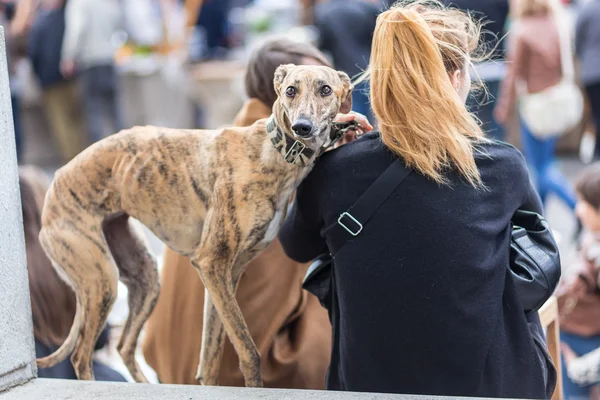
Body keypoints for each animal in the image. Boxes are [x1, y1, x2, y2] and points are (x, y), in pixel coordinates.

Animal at [37, 64, 354, 386]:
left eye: (325, 89)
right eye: (291, 90)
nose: (302, 127)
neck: (272, 151)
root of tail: (55, 180)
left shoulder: (227, 273)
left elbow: (210, 359)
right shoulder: (211, 262)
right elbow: (249, 353)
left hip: (144, 275)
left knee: (125, 345)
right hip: (100, 279)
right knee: (81, 355)